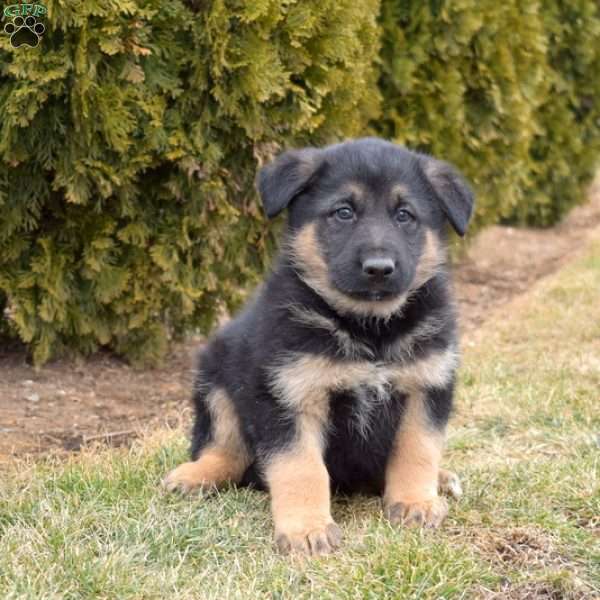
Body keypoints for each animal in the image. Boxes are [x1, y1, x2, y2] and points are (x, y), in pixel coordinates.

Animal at [164, 137, 474, 556]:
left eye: (404, 215)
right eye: (343, 212)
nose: (379, 268)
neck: (369, 330)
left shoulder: (427, 386)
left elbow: (418, 448)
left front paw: (414, 502)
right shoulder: (289, 395)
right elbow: (301, 468)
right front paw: (306, 529)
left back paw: (440, 479)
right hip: (216, 375)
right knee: (226, 449)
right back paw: (195, 475)